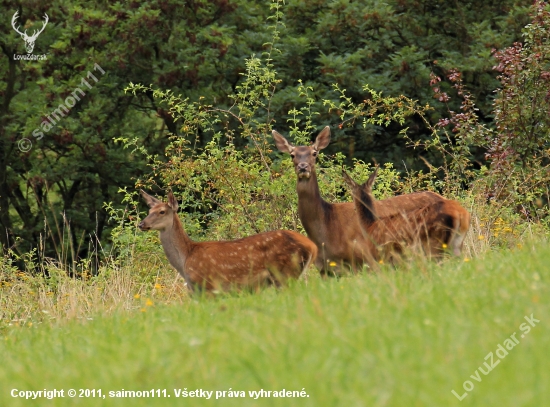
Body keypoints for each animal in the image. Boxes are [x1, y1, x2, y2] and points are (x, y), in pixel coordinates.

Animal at [139, 190, 320, 292]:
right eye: (149, 211)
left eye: (162, 212)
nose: (142, 224)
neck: (185, 259)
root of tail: (312, 247)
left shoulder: (209, 287)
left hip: (286, 273)